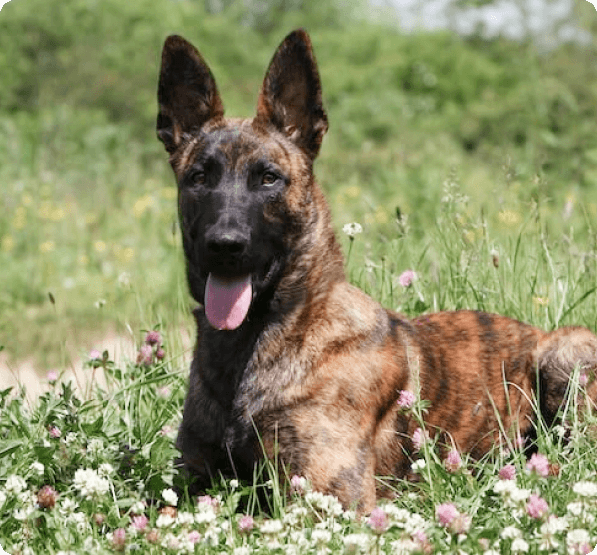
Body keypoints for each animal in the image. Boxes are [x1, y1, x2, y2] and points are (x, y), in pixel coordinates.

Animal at [158, 27, 596, 512]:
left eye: (268, 178)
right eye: (199, 178)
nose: (224, 245)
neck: (260, 338)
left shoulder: (328, 495)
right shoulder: (188, 484)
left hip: (565, 353)